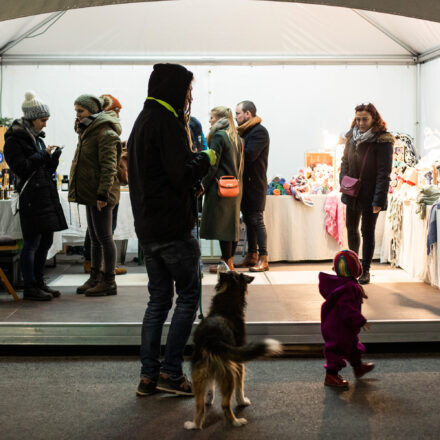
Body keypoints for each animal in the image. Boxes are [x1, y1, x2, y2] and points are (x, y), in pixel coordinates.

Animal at [183, 270, 282, 428]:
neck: (227, 299)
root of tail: (212, 339)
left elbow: (210, 387)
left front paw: (209, 399)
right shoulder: (239, 362)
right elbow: (240, 387)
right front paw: (243, 402)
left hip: (199, 373)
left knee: (200, 406)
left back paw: (194, 424)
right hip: (228, 375)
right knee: (225, 404)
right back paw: (236, 421)